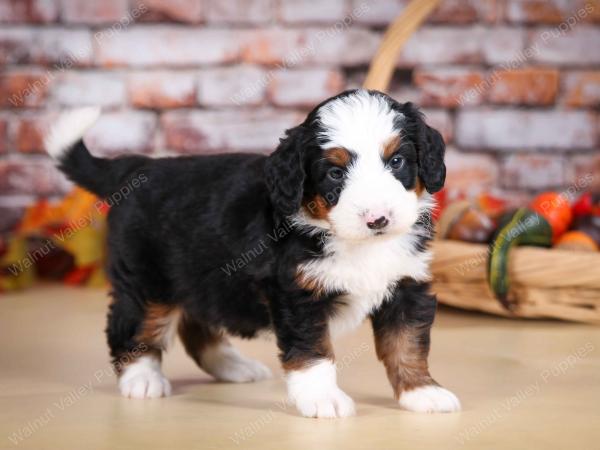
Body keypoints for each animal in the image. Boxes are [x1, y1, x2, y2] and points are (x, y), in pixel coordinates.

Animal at [45, 89, 460, 418]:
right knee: (131, 326)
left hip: (201, 277)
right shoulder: (297, 294)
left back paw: (233, 367)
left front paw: (422, 392)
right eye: (335, 174)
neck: (352, 241)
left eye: (397, 161)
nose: (378, 219)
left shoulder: (406, 284)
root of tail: (137, 166)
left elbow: (407, 344)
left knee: (196, 325)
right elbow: (314, 351)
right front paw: (323, 399)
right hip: (146, 280)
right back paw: (142, 378)